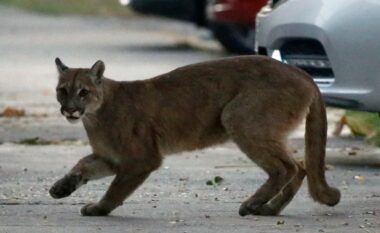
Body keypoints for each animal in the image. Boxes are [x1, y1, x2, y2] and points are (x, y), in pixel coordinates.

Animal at [49, 56, 340, 217]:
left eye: (83, 92)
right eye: (62, 90)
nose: (70, 109)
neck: (95, 116)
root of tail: (302, 72)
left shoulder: (141, 159)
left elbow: (116, 188)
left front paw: (100, 208)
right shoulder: (111, 158)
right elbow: (83, 165)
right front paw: (61, 187)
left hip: (238, 117)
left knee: (285, 167)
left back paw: (252, 204)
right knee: (300, 167)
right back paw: (269, 209)